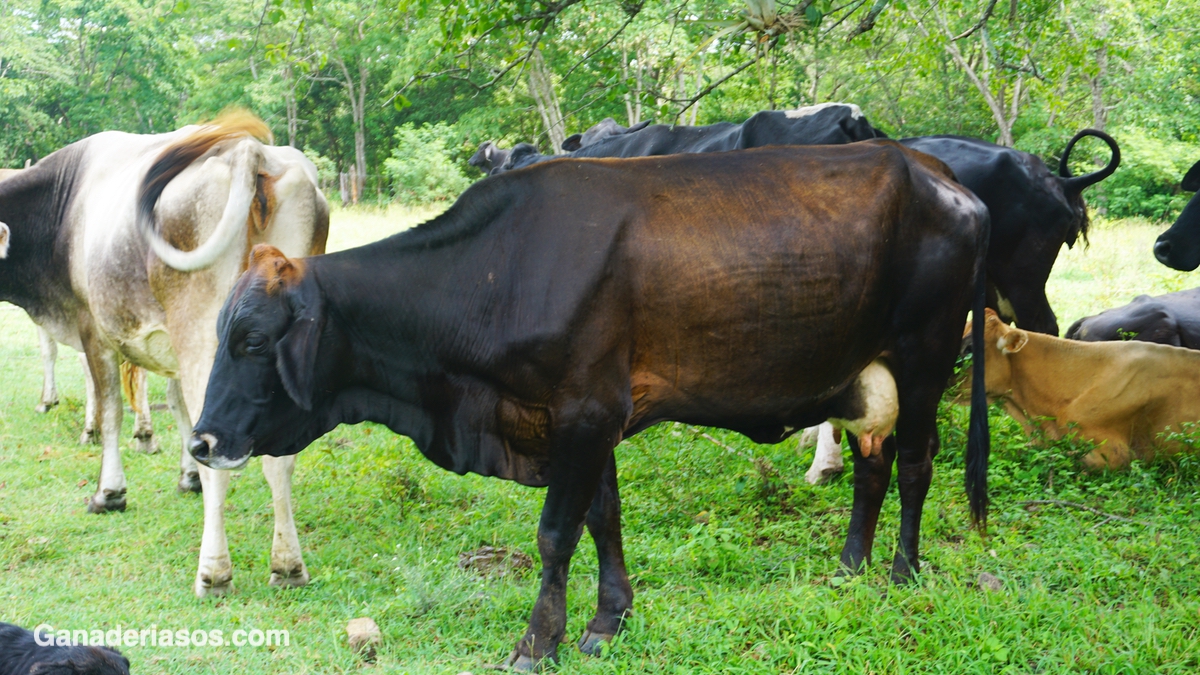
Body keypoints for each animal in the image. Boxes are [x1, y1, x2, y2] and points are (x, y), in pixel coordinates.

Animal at [0, 110, 328, 593]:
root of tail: (249, 151)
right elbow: (178, 409)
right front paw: (185, 477)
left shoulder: (93, 329)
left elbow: (111, 410)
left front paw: (109, 492)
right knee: (280, 457)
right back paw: (287, 565)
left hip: (204, 342)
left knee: (219, 456)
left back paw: (214, 571)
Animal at [187, 142, 988, 667]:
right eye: (222, 332)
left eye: (253, 340)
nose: (200, 443)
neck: (500, 271)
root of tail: (937, 170)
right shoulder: (584, 418)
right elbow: (604, 518)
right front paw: (608, 619)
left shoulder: (585, 413)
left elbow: (555, 533)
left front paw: (539, 641)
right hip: (866, 374)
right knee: (872, 464)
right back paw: (851, 565)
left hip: (925, 359)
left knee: (915, 465)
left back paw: (901, 571)